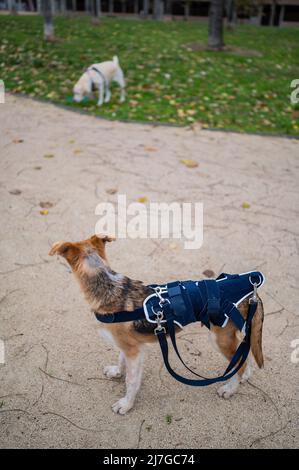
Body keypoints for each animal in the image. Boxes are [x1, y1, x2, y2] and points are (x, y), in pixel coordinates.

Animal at [49, 235, 264, 414]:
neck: (108, 287)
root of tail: (251, 291)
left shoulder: (134, 352)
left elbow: (131, 381)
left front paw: (126, 404)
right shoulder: (127, 347)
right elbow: (120, 360)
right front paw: (117, 372)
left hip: (220, 338)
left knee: (240, 361)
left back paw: (230, 389)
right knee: (243, 355)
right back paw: (243, 376)